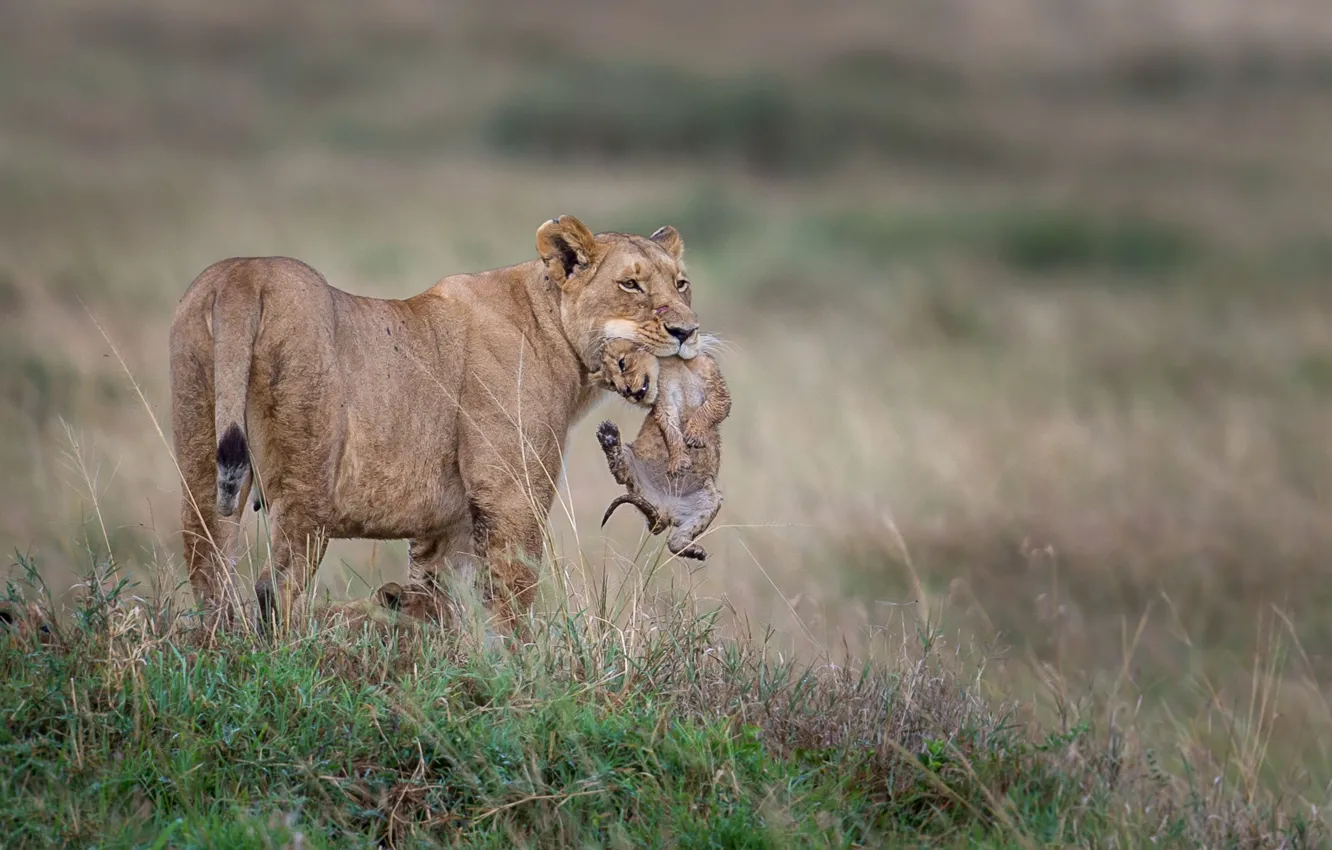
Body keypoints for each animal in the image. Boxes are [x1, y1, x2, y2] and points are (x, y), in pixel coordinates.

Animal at [168, 215, 702, 632]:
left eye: (681, 283)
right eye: (630, 284)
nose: (687, 331)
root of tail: (244, 275)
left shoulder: (447, 523)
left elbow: (442, 601)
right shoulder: (512, 494)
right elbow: (513, 595)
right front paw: (520, 674)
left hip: (201, 454)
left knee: (207, 567)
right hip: (309, 475)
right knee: (274, 586)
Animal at [593, 337, 731, 561]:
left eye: (622, 364)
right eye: (611, 383)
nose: (626, 391)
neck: (677, 363)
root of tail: (664, 511)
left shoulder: (718, 389)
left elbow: (709, 410)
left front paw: (694, 434)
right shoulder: (664, 400)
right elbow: (670, 429)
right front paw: (679, 461)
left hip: (710, 500)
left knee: (676, 541)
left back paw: (693, 551)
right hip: (632, 467)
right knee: (620, 472)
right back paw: (609, 437)